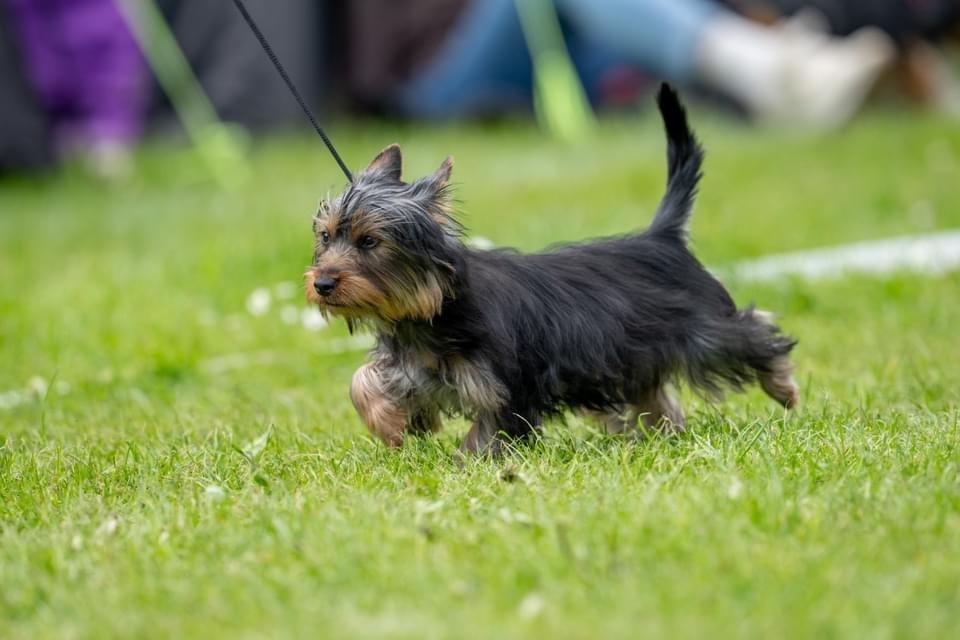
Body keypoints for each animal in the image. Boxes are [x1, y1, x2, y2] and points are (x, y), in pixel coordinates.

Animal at [306, 86, 796, 456]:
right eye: (326, 237)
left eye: (370, 241)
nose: (323, 283)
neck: (430, 310)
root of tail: (663, 236)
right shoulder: (411, 364)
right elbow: (362, 382)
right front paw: (390, 423)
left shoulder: (509, 386)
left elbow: (488, 434)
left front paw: (468, 464)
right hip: (635, 356)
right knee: (656, 394)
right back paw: (661, 434)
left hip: (703, 330)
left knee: (752, 332)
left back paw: (783, 386)